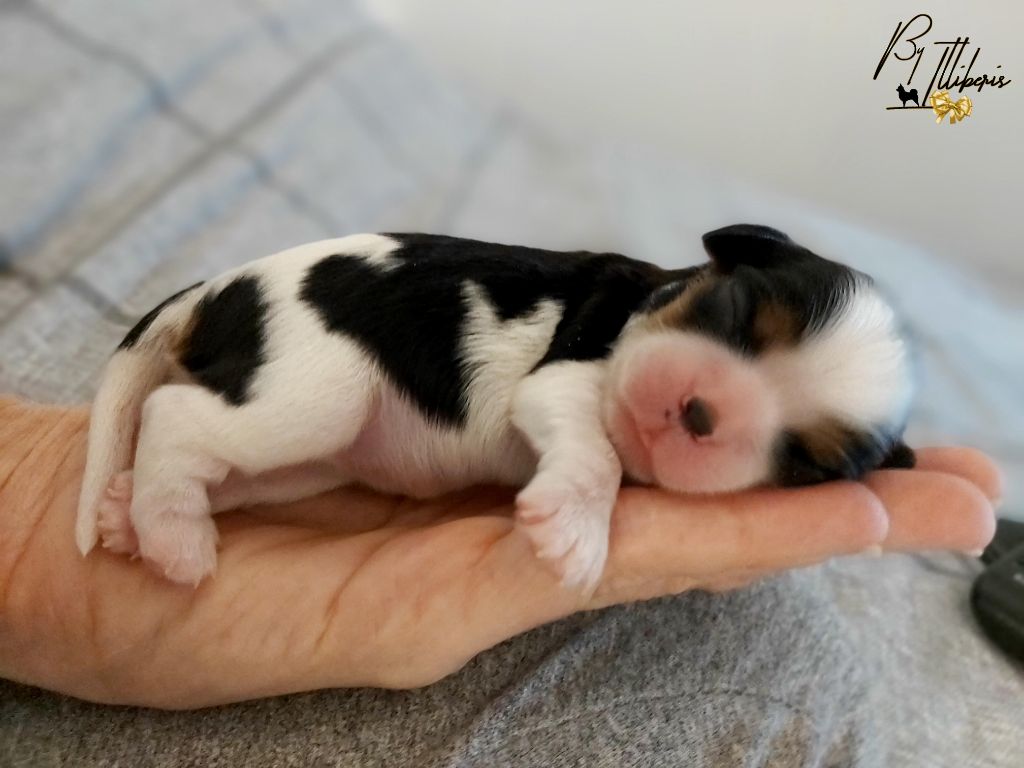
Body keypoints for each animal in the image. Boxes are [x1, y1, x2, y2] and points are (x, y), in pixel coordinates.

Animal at [75, 225, 917, 593]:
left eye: (804, 463)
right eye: (737, 312)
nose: (700, 413)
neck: (658, 294)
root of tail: (216, 290)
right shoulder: (566, 373)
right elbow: (597, 455)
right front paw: (573, 533)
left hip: (310, 460)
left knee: (221, 462)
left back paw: (130, 511)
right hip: (315, 392)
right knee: (174, 414)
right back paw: (175, 536)